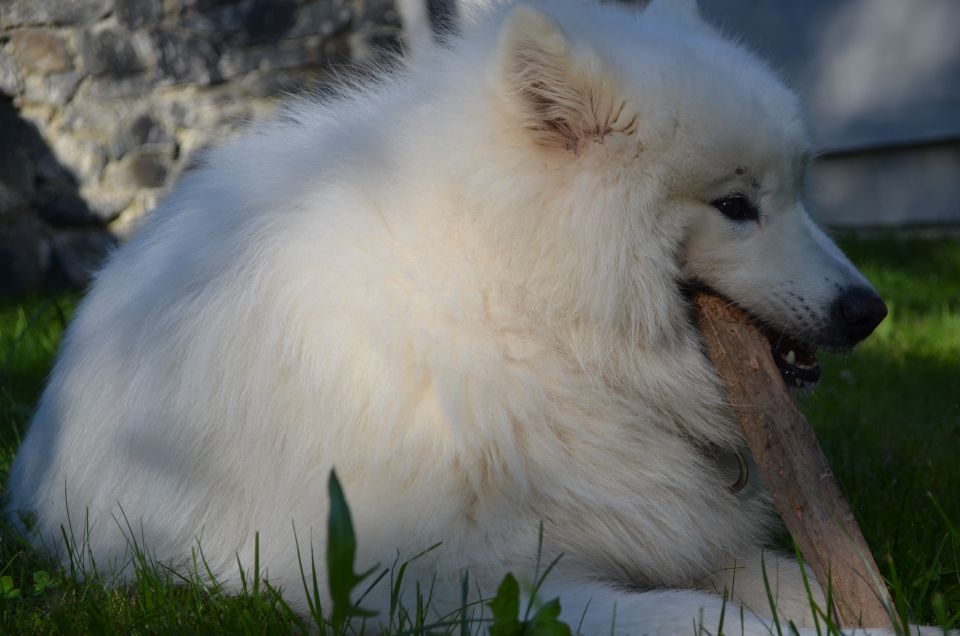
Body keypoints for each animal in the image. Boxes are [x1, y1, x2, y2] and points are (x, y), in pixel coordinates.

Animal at [7, 1, 896, 632]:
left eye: (799, 190)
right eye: (736, 206)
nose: (870, 310)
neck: (527, 314)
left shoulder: (668, 530)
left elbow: (798, 582)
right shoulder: (441, 582)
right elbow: (696, 615)